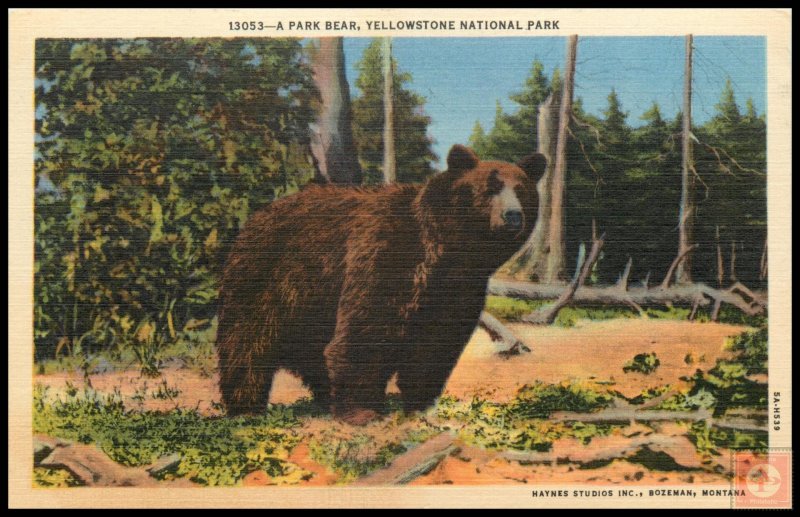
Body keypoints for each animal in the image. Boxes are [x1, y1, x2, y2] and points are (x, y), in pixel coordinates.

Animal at [216, 144, 548, 424]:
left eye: (521, 190)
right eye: (490, 189)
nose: (513, 216)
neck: (445, 253)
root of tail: (255, 216)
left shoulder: (457, 290)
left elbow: (436, 344)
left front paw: (420, 404)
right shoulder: (385, 257)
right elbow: (366, 331)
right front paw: (363, 411)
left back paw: (324, 397)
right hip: (270, 278)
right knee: (247, 341)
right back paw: (247, 408)